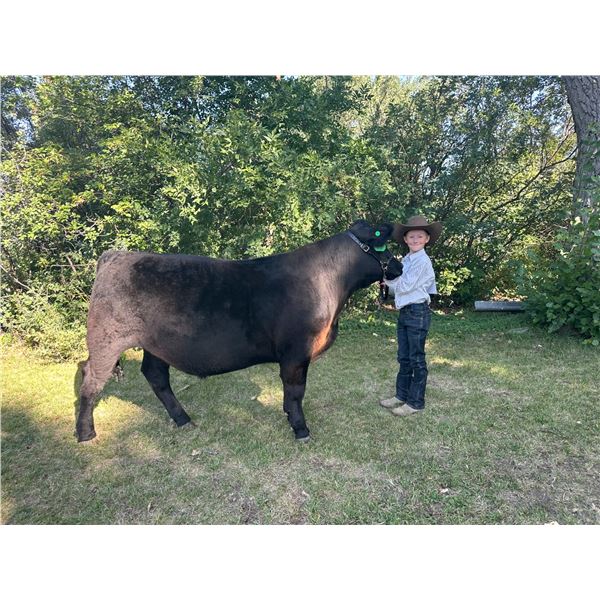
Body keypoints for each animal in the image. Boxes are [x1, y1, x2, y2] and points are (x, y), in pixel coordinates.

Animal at [75, 220, 403, 443]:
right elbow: (295, 391)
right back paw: (85, 432)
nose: (399, 268)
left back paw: (183, 419)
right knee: (91, 381)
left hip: (155, 343)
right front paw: (300, 428)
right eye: (381, 244)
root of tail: (114, 256)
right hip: (106, 338)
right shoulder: (296, 352)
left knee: (155, 376)